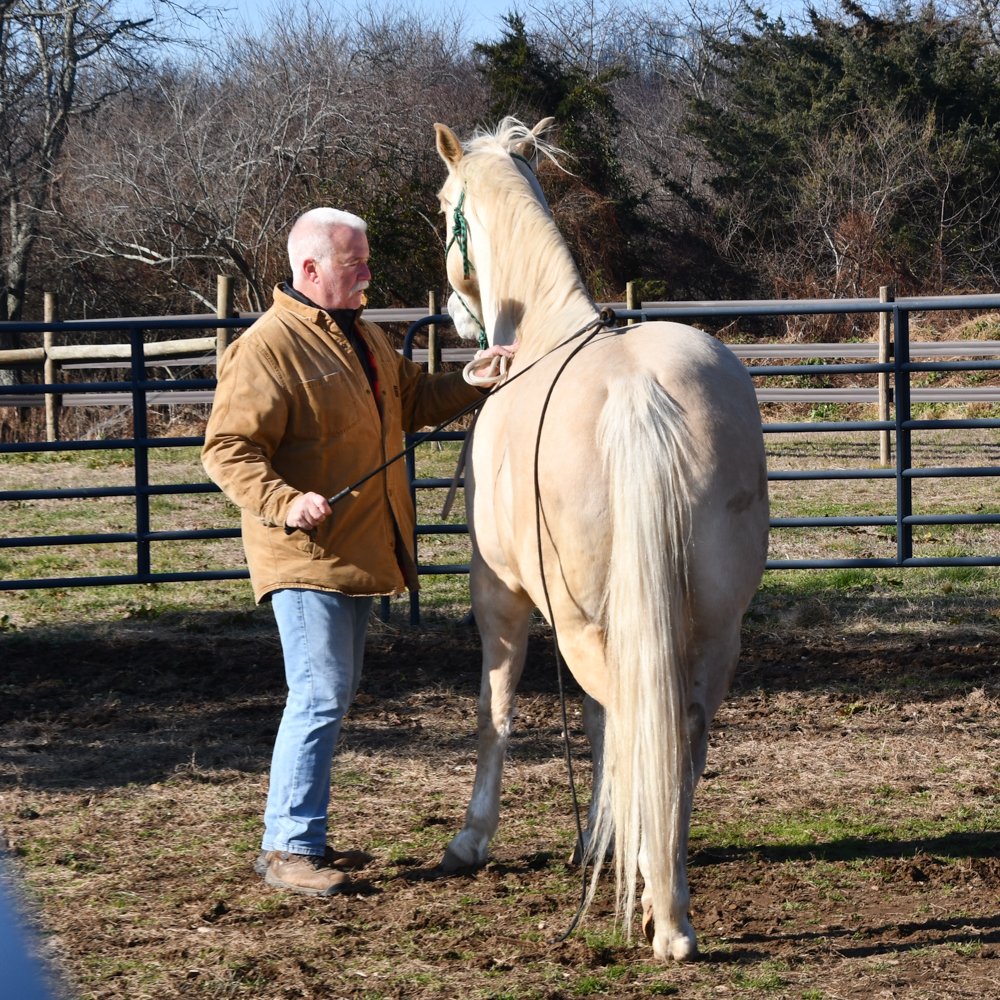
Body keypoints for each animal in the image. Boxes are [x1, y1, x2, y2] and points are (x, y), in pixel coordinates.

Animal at [433, 117, 769, 962]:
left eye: (445, 209)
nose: (455, 315)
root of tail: (641, 395)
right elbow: (603, 727)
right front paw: (603, 835)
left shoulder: (501, 597)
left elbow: (497, 711)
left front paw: (472, 838)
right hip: (714, 630)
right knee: (678, 730)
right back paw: (664, 894)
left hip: (587, 622)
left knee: (636, 721)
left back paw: (662, 912)